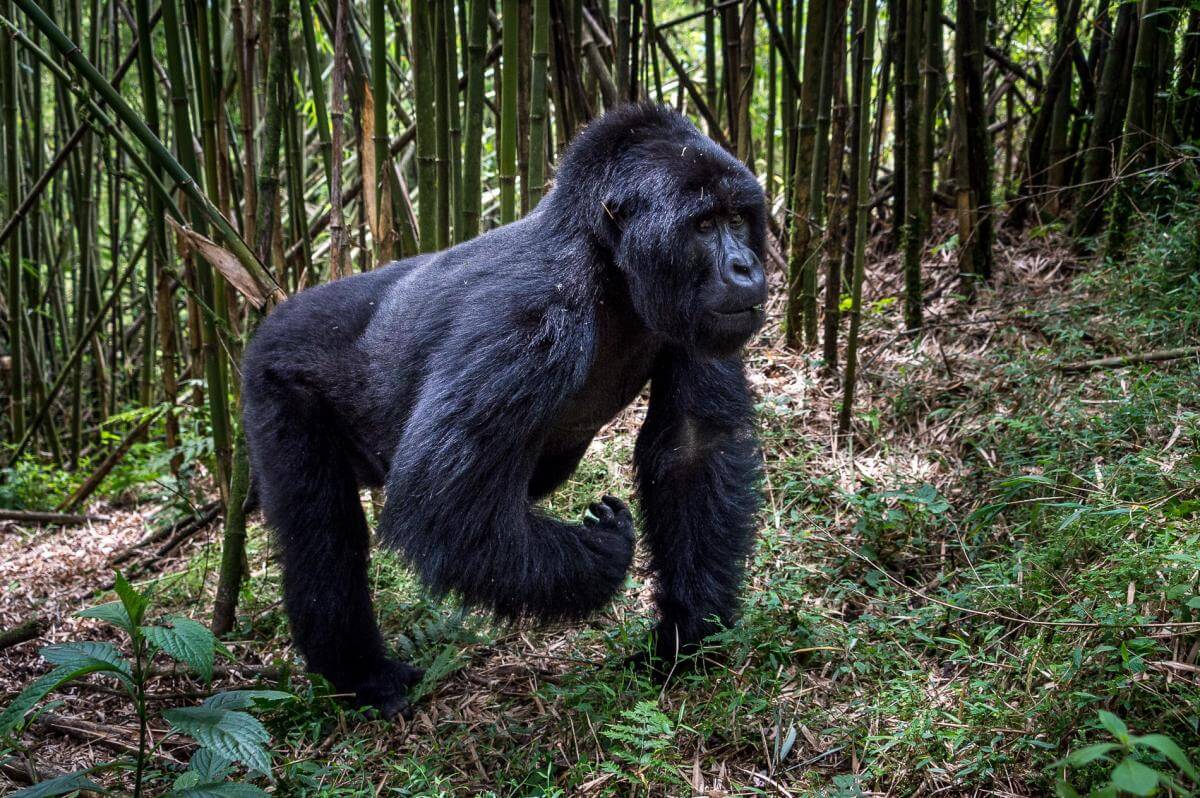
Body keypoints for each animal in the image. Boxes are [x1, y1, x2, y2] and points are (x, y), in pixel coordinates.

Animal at [243, 102, 768, 720]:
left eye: (738, 219)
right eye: (704, 226)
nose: (745, 267)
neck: (604, 260)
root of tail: (278, 311)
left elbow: (693, 448)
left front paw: (687, 633)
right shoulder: (532, 315)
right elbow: (442, 506)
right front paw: (604, 554)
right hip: (274, 373)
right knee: (322, 530)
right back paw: (361, 671)